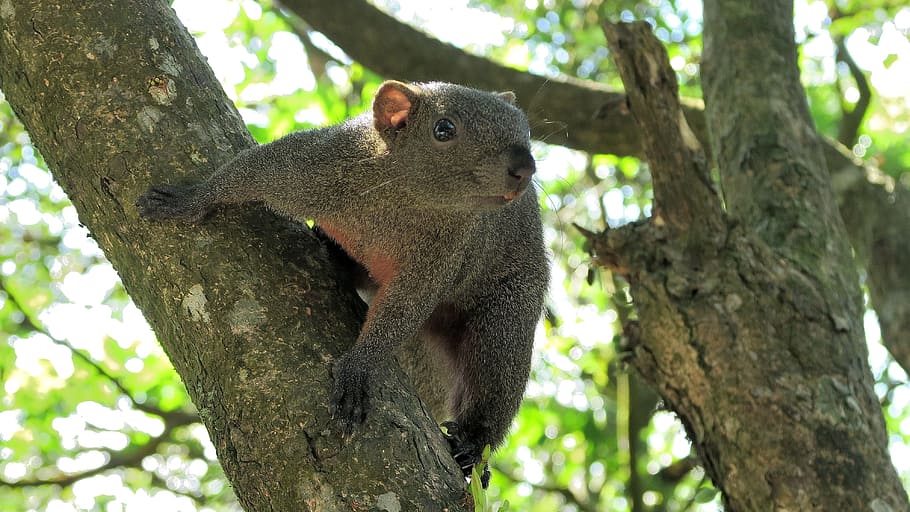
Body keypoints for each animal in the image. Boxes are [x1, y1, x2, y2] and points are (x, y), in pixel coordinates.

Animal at [136, 80, 549, 487]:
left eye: (524, 128)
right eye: (444, 129)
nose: (524, 167)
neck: (401, 197)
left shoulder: (441, 258)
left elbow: (402, 310)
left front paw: (357, 370)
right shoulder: (314, 165)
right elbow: (248, 170)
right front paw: (188, 200)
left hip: (508, 315)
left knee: (494, 383)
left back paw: (472, 446)